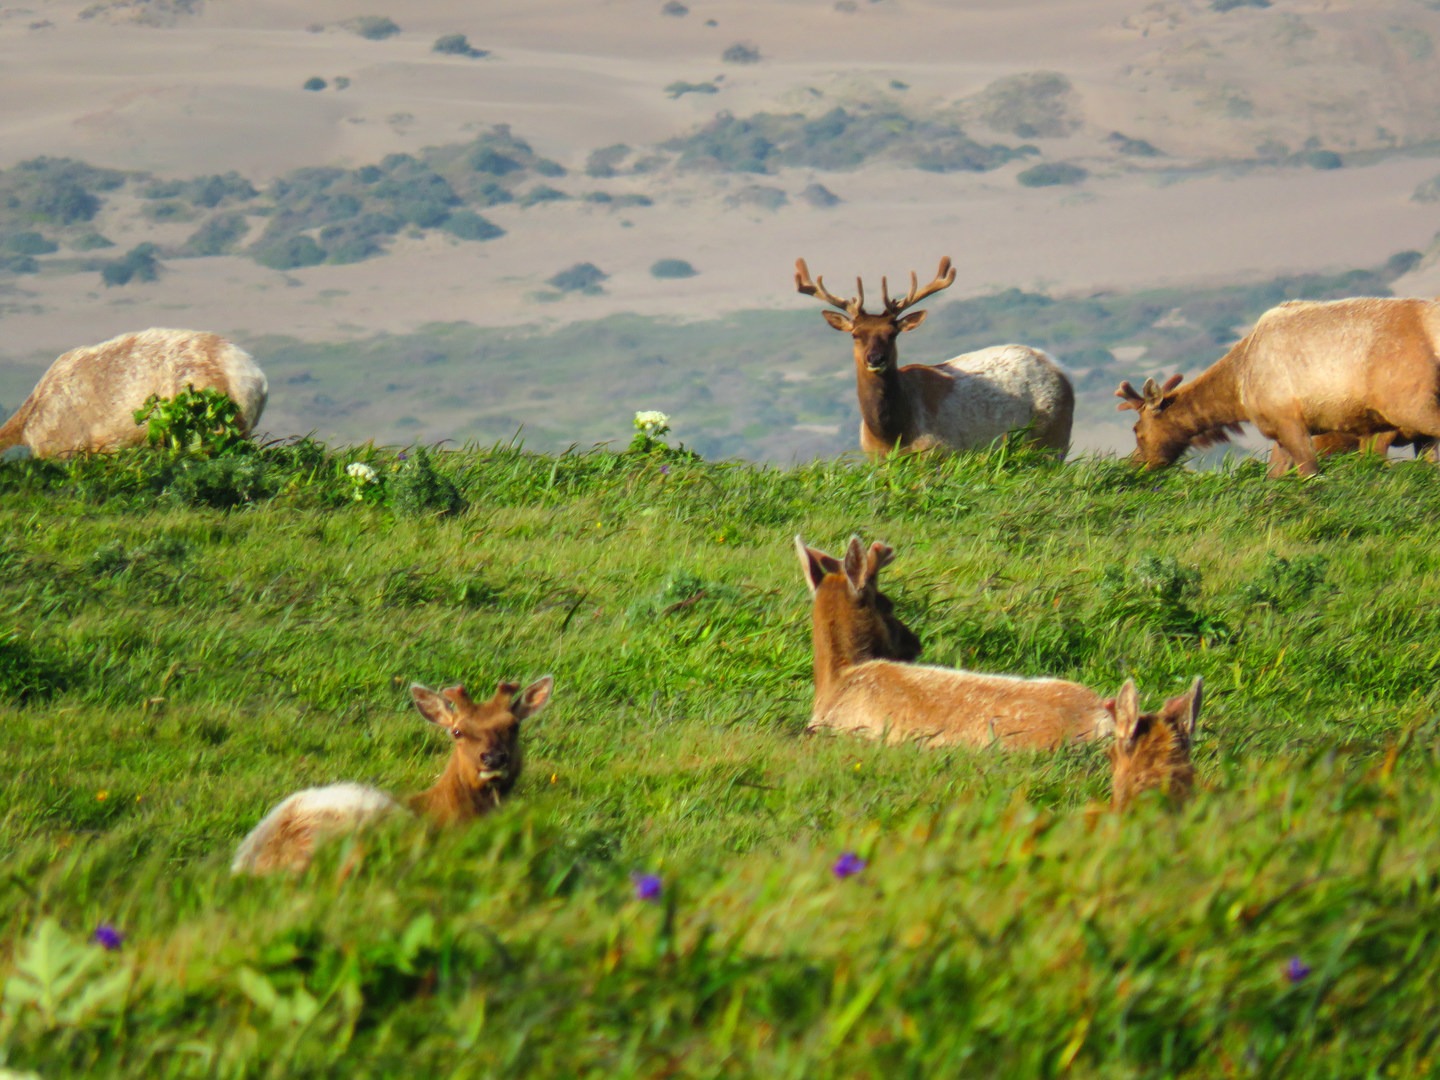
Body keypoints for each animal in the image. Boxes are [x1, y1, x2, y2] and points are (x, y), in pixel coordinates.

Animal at [795, 257, 1074, 458]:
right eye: (855, 334)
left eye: (892, 333)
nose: (876, 358)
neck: (892, 434)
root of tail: (1059, 368)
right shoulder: (876, 459)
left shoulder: (942, 451)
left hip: (1053, 436)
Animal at [1115, 297, 1440, 477]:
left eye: (1137, 430)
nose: (1134, 464)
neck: (1239, 393)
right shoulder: (1278, 431)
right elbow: (1274, 477)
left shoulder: (1289, 419)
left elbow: (1309, 473)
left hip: (1409, 403)